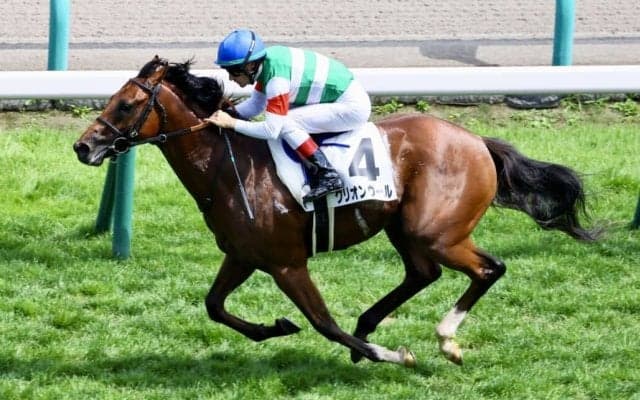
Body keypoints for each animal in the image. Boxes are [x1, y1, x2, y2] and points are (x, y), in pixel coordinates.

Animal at [73, 56, 599, 367]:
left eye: (125, 105)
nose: (83, 147)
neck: (228, 165)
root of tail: (477, 141)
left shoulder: (287, 263)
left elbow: (324, 323)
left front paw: (390, 354)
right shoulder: (242, 255)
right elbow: (215, 306)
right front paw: (275, 327)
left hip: (436, 231)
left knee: (489, 268)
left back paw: (444, 338)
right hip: (404, 227)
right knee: (423, 273)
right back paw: (372, 322)